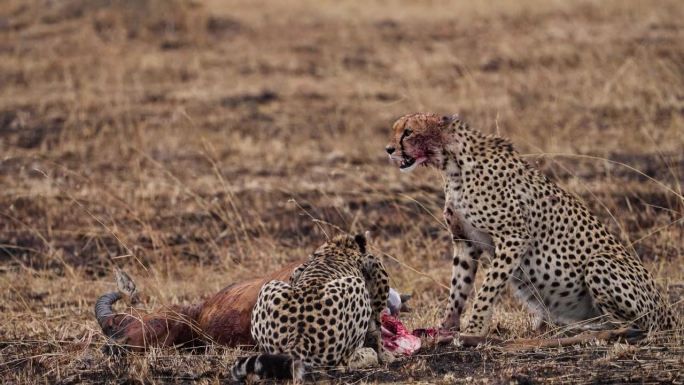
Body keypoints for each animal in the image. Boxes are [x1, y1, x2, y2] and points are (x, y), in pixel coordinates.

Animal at [231, 232, 392, 380]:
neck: (338, 248)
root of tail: (299, 332)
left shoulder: (297, 270)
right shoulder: (373, 266)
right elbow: (377, 326)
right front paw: (385, 354)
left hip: (269, 286)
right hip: (356, 284)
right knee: (343, 363)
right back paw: (369, 354)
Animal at [384, 112, 680, 336]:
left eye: (408, 132)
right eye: (396, 130)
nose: (389, 149)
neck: (450, 162)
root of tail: (669, 312)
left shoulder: (513, 237)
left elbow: (487, 289)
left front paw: (474, 330)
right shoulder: (465, 240)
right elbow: (459, 286)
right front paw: (447, 327)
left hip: (601, 263)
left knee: (633, 325)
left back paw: (585, 330)